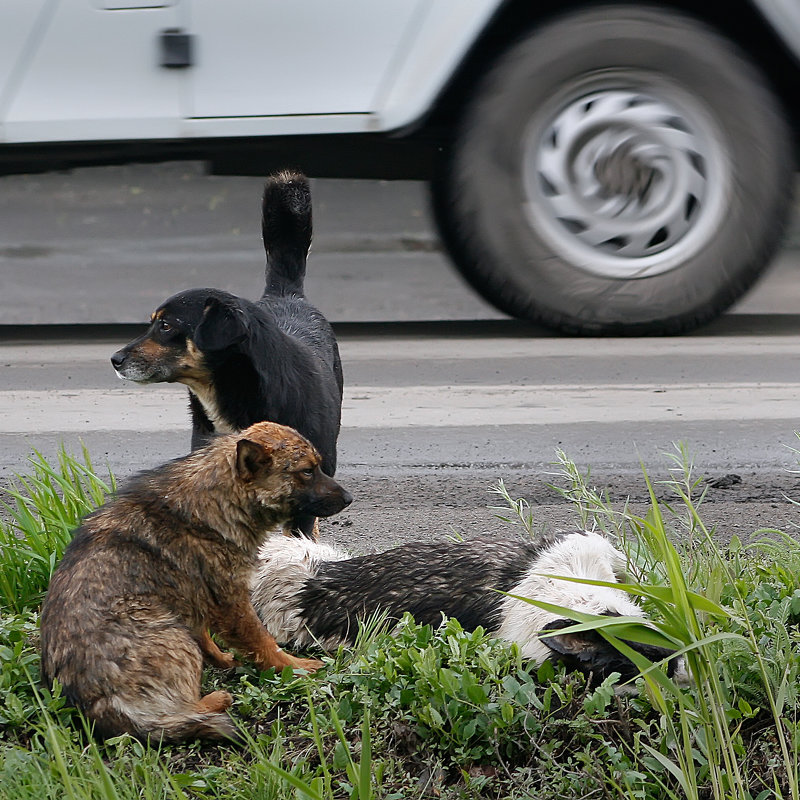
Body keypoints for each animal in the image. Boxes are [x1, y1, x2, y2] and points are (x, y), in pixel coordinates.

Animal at [38, 422, 350, 740]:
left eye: (317, 467)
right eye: (307, 471)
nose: (349, 498)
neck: (218, 498)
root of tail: (102, 708)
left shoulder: (194, 599)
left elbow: (207, 639)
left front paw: (223, 659)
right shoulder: (231, 603)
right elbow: (265, 643)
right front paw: (296, 667)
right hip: (171, 633)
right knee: (182, 711)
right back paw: (216, 699)